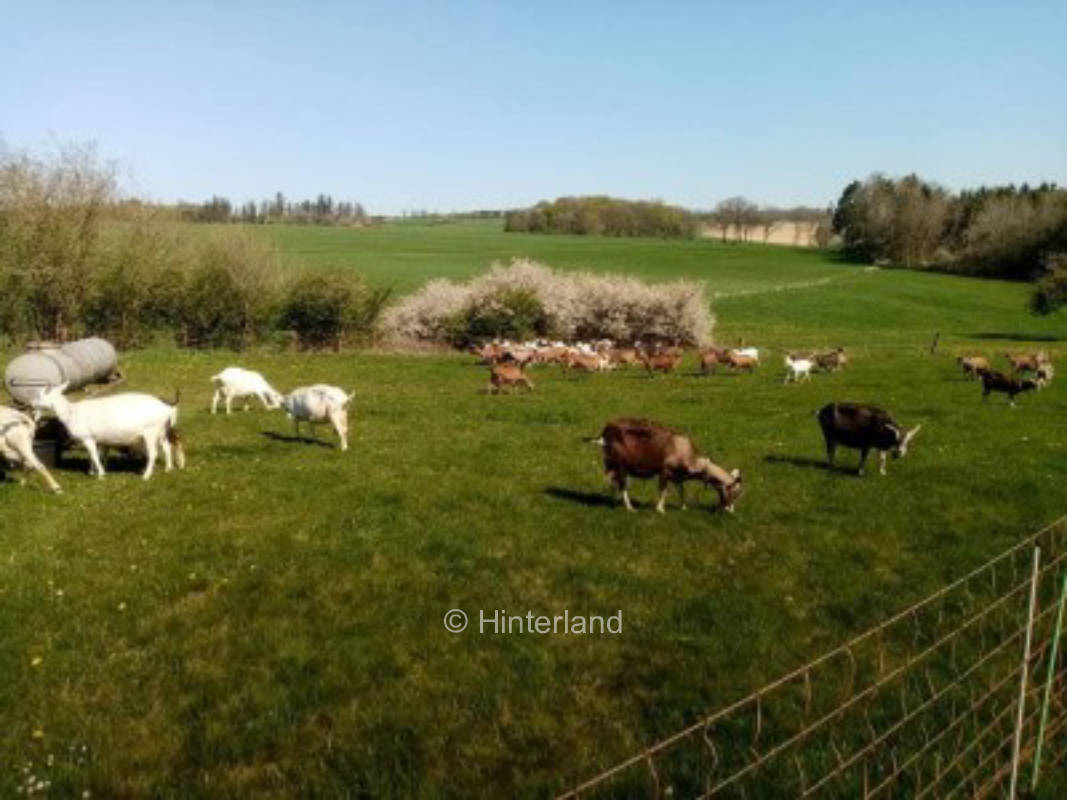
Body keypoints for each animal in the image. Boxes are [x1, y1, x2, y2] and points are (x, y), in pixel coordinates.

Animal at [32, 384, 186, 482]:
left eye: (41, 394)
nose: (32, 403)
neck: (71, 413)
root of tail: (168, 409)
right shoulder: (97, 440)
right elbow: (96, 455)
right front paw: (92, 471)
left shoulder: (87, 437)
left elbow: (94, 455)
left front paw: (100, 475)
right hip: (161, 431)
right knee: (166, 447)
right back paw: (168, 469)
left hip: (150, 432)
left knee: (154, 453)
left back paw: (146, 476)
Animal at [593, 420, 742, 514]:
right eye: (734, 492)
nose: (730, 511)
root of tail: (606, 430)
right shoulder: (664, 472)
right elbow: (663, 490)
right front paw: (660, 510)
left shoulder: (677, 476)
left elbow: (681, 490)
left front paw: (683, 508)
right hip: (621, 465)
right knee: (622, 486)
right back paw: (630, 508)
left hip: (614, 466)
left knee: (613, 483)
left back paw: (613, 503)